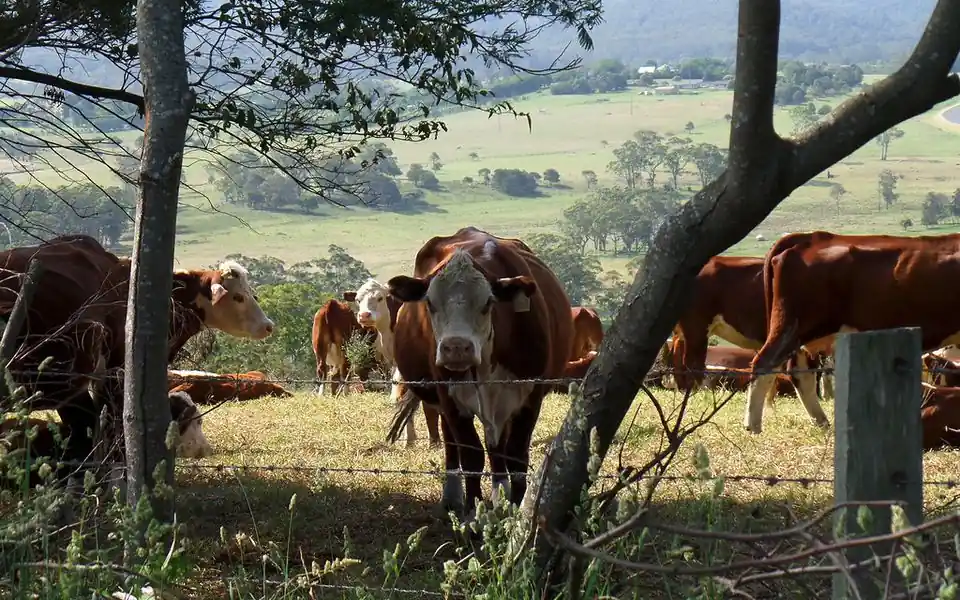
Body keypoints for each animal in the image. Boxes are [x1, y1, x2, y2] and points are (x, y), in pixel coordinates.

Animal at [385, 226, 574, 517]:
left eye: (487, 303)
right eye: (430, 303)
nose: (456, 347)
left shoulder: (530, 397)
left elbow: (515, 456)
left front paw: (515, 508)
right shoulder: (450, 397)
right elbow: (471, 454)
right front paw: (472, 511)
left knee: (497, 448)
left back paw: (500, 495)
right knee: (452, 444)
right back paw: (452, 498)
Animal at [747, 230, 960, 434]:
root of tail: (811, 237)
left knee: (799, 373)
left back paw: (822, 423)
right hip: (792, 324)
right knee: (764, 364)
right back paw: (753, 427)